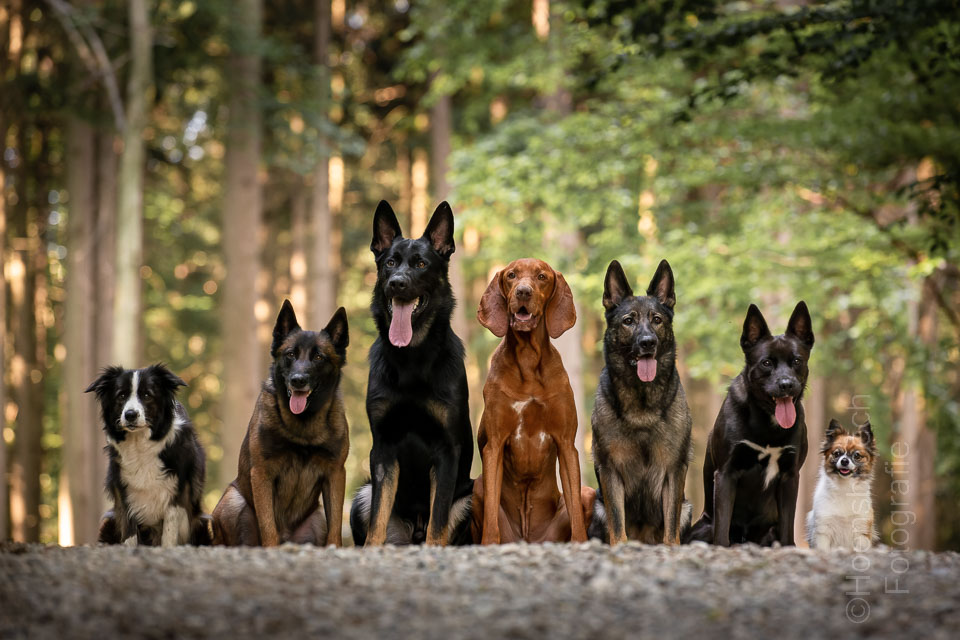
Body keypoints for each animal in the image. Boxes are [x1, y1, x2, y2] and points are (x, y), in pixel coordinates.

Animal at [86, 364, 210, 544]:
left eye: (147, 395)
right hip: (109, 519)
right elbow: (129, 535)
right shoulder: (124, 493)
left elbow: (168, 535)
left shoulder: (177, 494)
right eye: (121, 395)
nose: (130, 414)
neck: (141, 445)